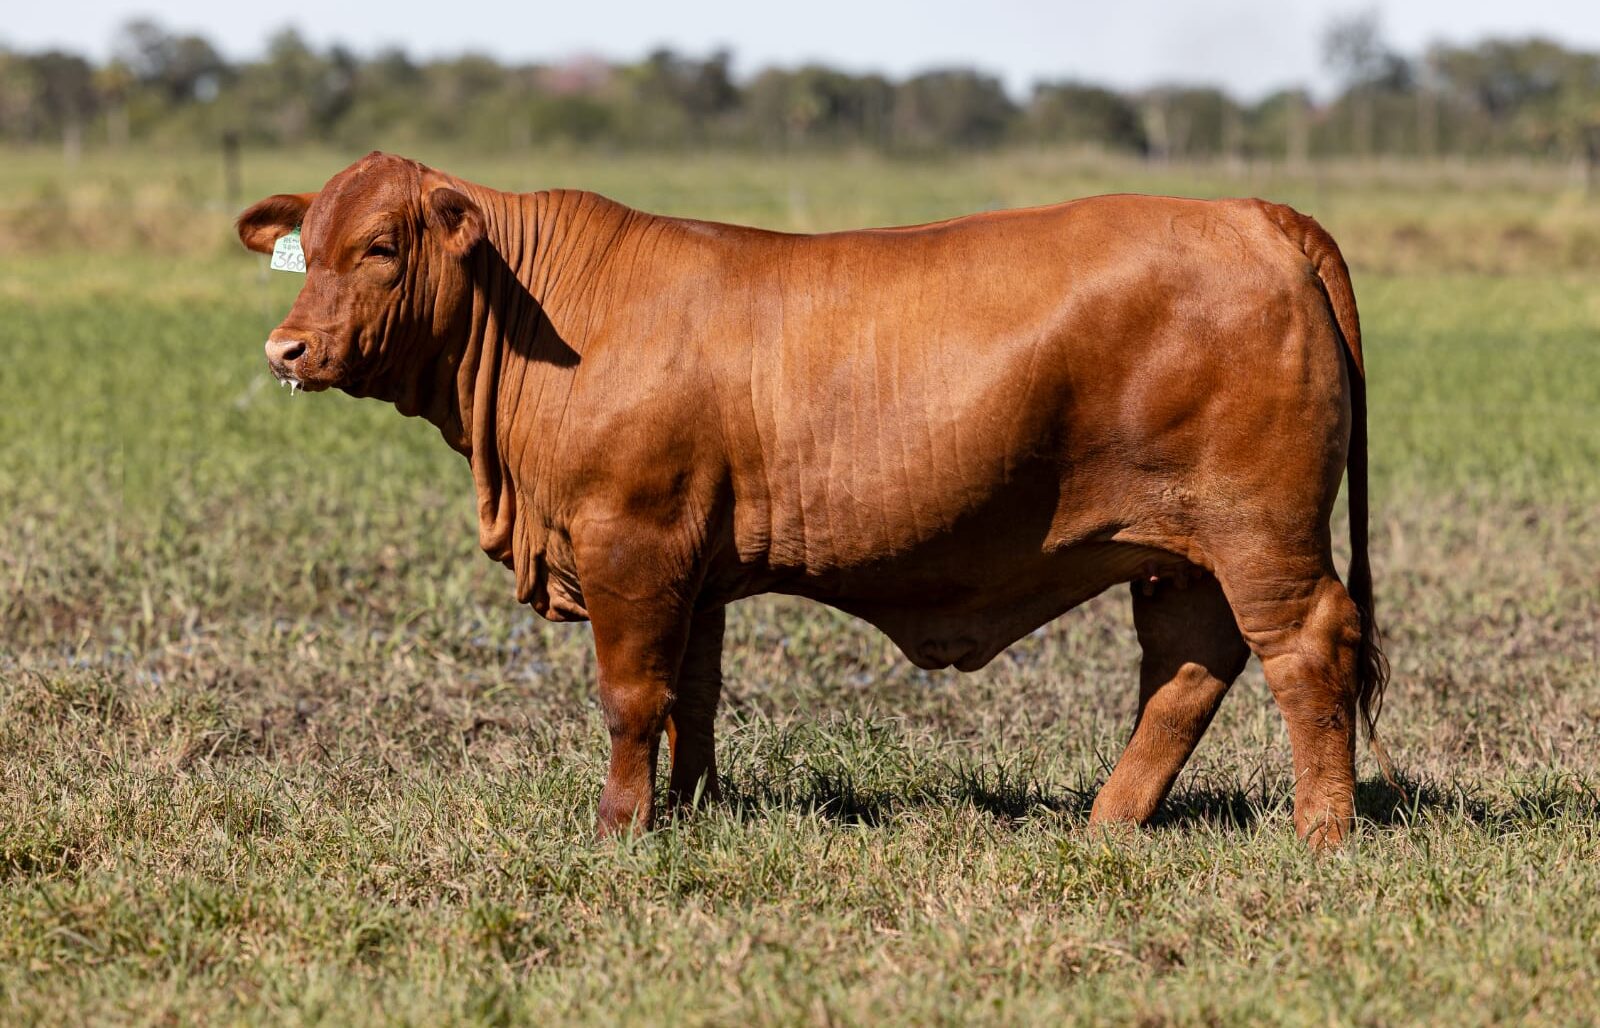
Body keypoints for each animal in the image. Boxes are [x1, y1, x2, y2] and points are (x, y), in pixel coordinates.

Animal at [233, 150, 1388, 839]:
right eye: (309, 249)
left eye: (382, 247)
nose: (286, 348)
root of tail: (1249, 213)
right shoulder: (689, 568)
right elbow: (689, 696)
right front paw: (693, 807)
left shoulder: (629, 543)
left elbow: (629, 695)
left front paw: (619, 828)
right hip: (1178, 550)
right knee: (1189, 665)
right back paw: (1110, 820)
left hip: (1262, 531)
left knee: (1304, 648)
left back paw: (1321, 832)